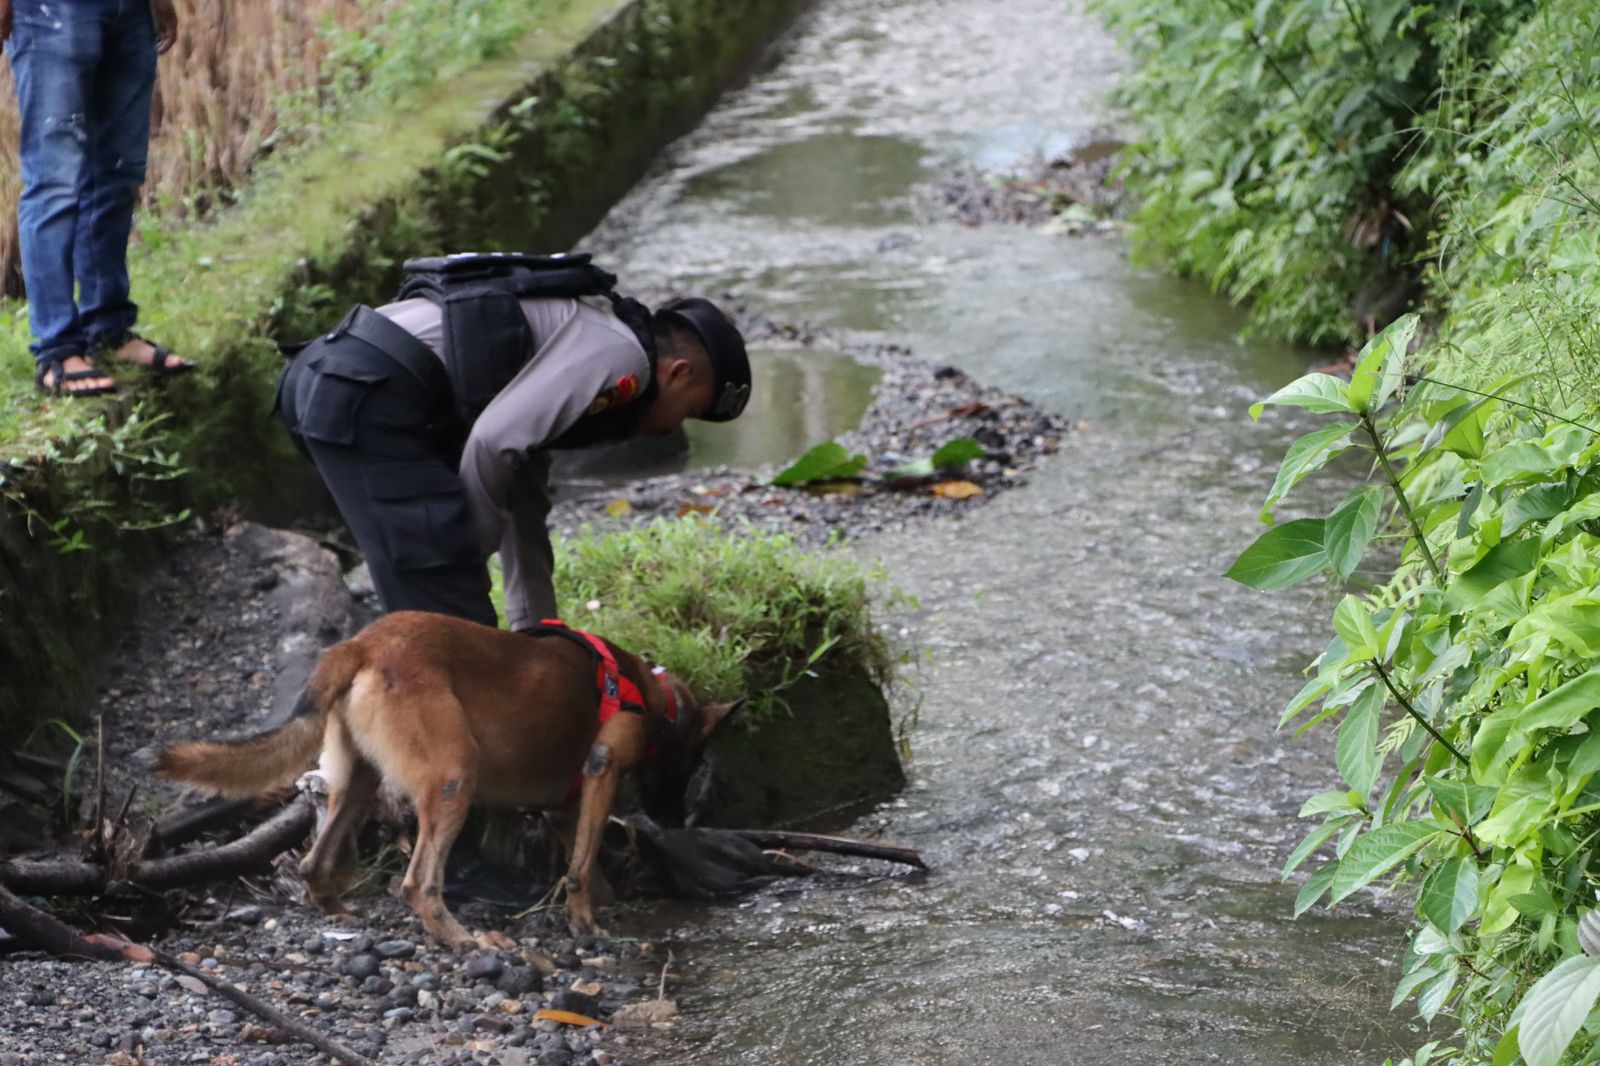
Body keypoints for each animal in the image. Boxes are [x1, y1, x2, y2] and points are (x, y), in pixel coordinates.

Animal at [156, 605, 742, 947]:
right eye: (692, 762)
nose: (673, 819)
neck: (653, 694)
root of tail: (359, 645)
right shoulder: (603, 768)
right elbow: (579, 866)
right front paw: (588, 925)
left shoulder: (565, 807)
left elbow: (586, 864)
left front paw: (600, 907)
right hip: (454, 777)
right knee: (419, 881)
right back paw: (462, 941)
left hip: (356, 782)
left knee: (313, 863)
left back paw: (342, 914)